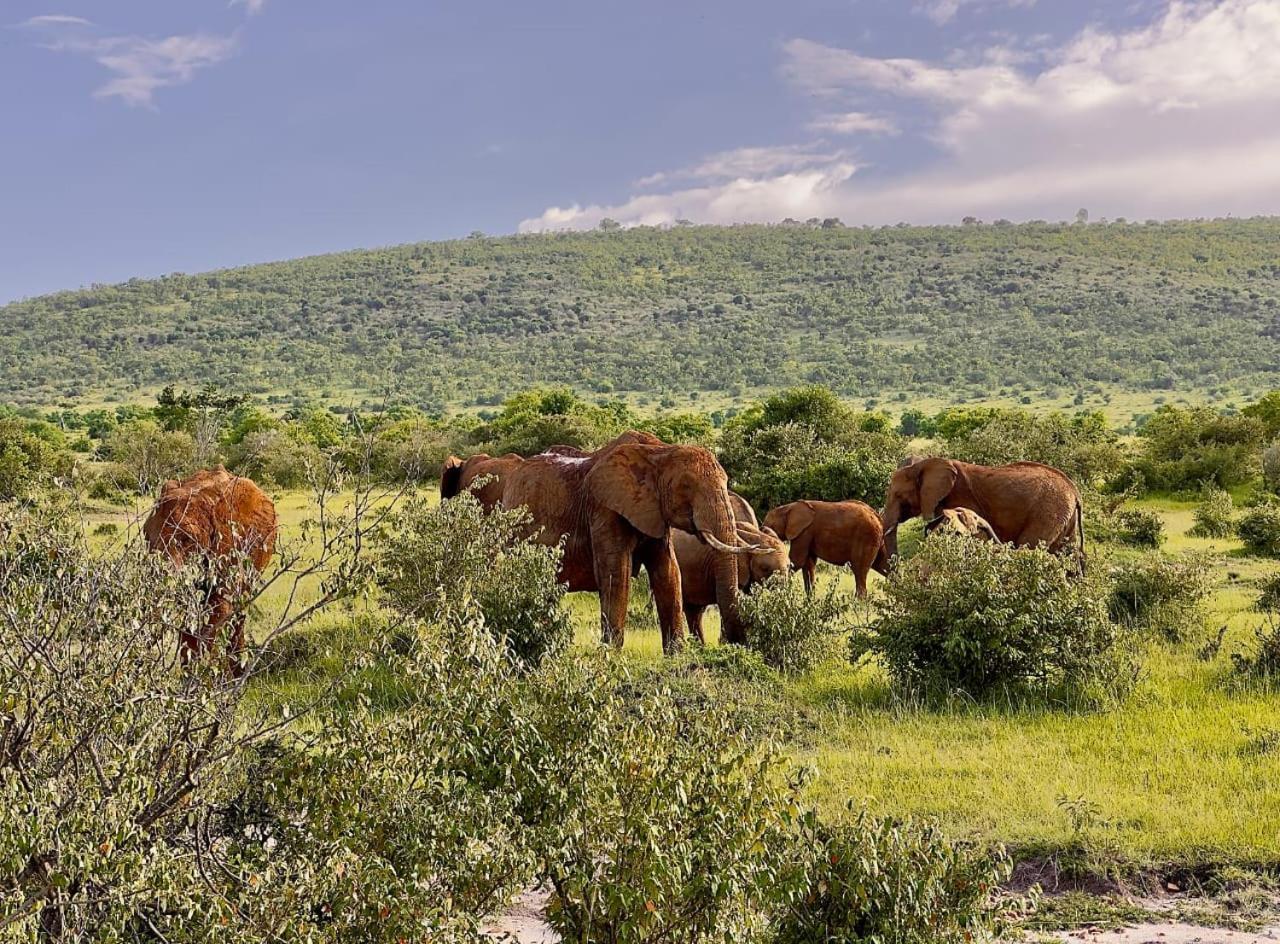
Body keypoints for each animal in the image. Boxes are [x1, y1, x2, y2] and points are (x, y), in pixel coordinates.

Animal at [885, 455, 1085, 562]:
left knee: (1030, 546)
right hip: (1064, 515)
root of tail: (1074, 491)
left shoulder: (960, 499)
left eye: (898, 495)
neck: (924, 463)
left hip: (1048, 511)